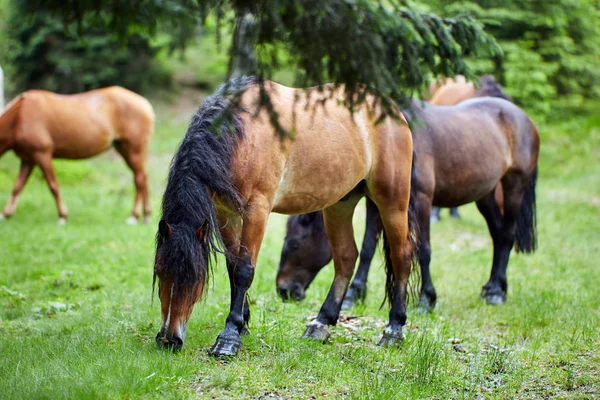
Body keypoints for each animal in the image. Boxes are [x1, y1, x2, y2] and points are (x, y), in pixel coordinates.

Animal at [0, 86, 155, 223]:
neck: (19, 115)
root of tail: (144, 103)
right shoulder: (28, 160)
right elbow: (17, 187)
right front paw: (5, 214)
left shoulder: (42, 155)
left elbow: (53, 185)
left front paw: (62, 216)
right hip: (124, 149)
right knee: (142, 178)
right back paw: (144, 215)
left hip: (133, 150)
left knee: (140, 179)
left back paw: (135, 216)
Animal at [154, 77, 418, 356]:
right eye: (159, 271)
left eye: (196, 279)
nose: (168, 339)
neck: (242, 135)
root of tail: (393, 111)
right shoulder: (224, 212)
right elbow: (232, 266)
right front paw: (242, 325)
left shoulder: (257, 210)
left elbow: (244, 270)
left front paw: (229, 336)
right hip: (340, 205)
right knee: (346, 258)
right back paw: (321, 323)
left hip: (392, 203)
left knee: (402, 256)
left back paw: (394, 329)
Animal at [276, 94, 540, 310]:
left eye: (294, 243)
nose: (283, 290)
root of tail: (524, 117)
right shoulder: (377, 203)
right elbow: (368, 248)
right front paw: (355, 293)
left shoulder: (422, 201)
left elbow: (423, 249)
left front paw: (426, 299)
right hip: (485, 195)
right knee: (498, 235)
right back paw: (492, 286)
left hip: (514, 187)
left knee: (506, 236)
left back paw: (496, 292)